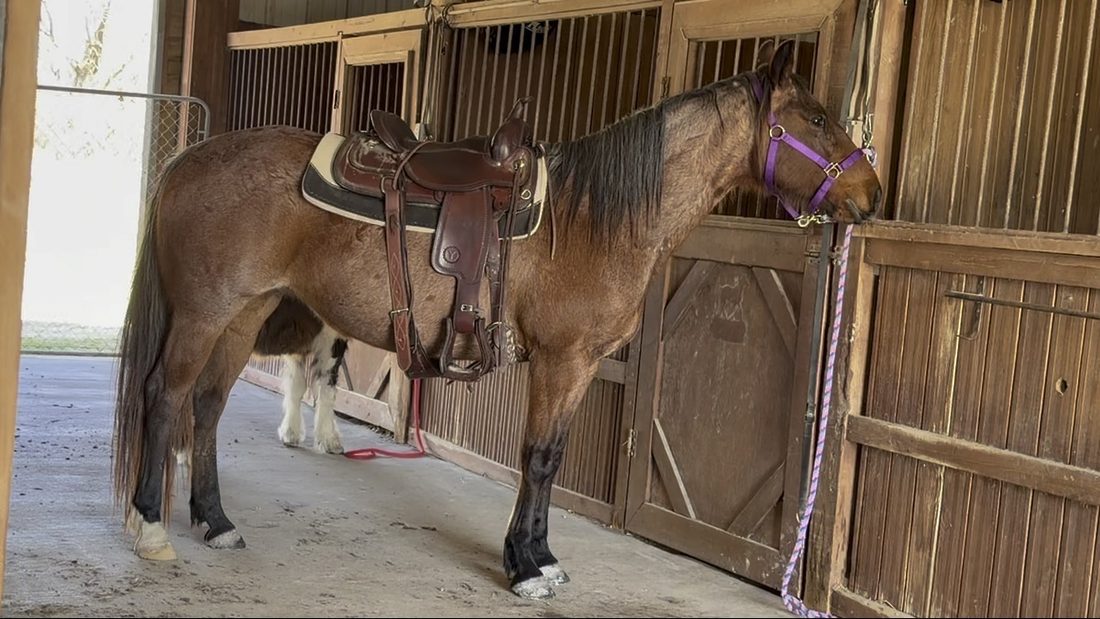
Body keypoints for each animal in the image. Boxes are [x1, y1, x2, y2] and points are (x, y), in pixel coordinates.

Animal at [111, 41, 881, 600]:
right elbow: (536, 457)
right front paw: (526, 566)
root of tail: (189, 160)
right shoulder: (562, 359)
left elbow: (552, 457)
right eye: (815, 119)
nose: (872, 195)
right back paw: (150, 527)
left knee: (207, 407)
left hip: (245, 315)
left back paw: (215, 522)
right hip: (204, 315)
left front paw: (539, 555)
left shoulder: (581, 365)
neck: (590, 219)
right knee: (165, 397)